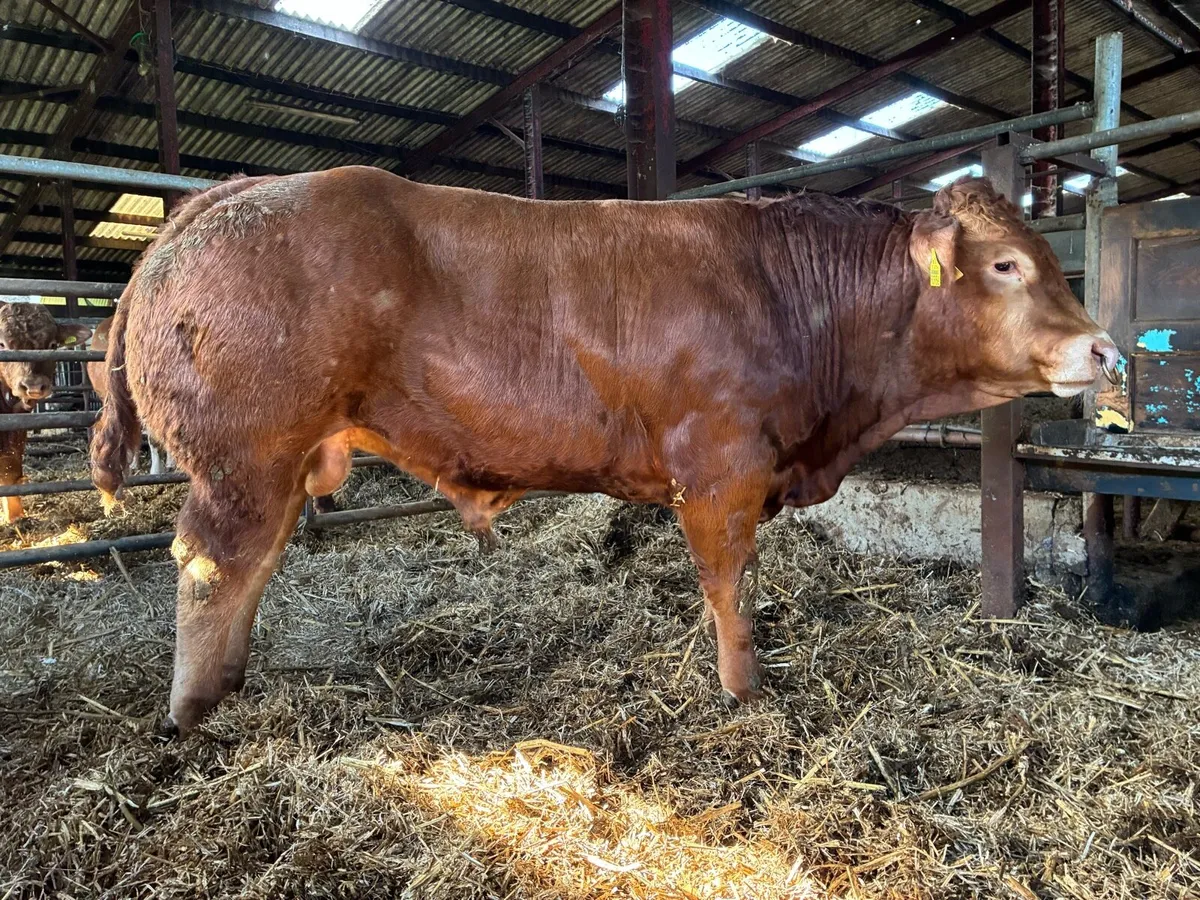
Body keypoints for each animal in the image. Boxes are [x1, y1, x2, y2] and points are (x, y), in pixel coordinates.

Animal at [89, 167, 1120, 735]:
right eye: (1006, 264)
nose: (1104, 348)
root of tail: (230, 197)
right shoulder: (722, 467)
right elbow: (728, 583)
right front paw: (744, 691)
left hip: (278, 461)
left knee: (253, 565)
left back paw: (230, 687)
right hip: (243, 455)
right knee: (211, 565)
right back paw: (193, 712)